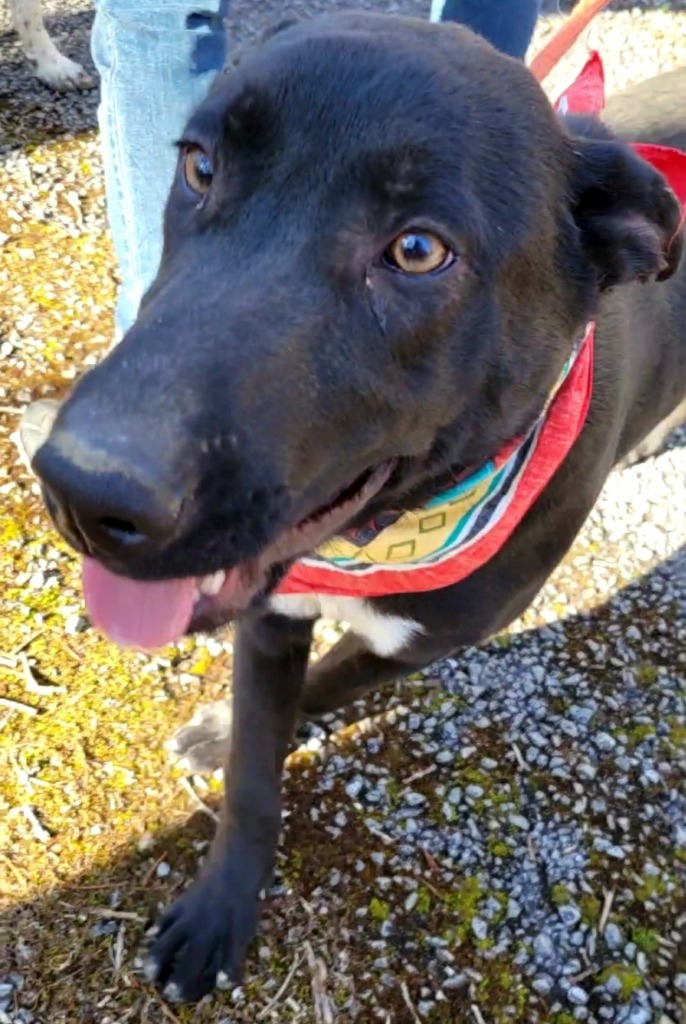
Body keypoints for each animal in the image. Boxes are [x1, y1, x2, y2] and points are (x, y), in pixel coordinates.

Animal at [28, 14, 686, 1007]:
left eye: (417, 251)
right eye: (200, 166)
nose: (81, 489)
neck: (384, 536)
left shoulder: (419, 641)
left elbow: (323, 685)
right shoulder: (271, 612)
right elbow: (255, 774)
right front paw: (222, 895)